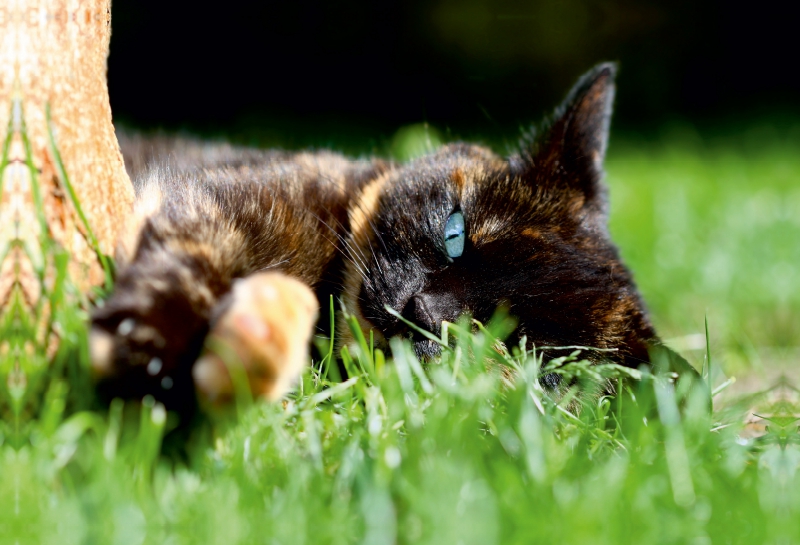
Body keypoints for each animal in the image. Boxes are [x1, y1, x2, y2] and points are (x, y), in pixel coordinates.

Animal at [87, 61, 676, 414]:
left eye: (520, 345)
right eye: (455, 233)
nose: (425, 310)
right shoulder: (228, 208)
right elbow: (193, 261)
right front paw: (152, 346)